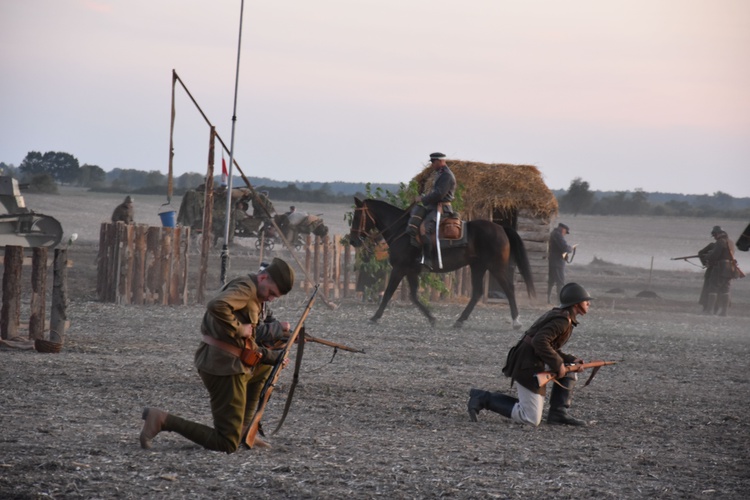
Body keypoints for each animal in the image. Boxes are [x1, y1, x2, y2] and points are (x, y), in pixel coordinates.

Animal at [350, 197, 536, 330]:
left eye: (357, 216)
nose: (353, 241)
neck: (402, 230)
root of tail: (501, 228)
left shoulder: (399, 269)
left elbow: (388, 293)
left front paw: (374, 317)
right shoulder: (411, 271)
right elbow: (414, 296)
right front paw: (432, 318)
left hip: (496, 267)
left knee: (509, 289)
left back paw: (516, 322)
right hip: (478, 267)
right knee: (477, 293)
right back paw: (459, 321)